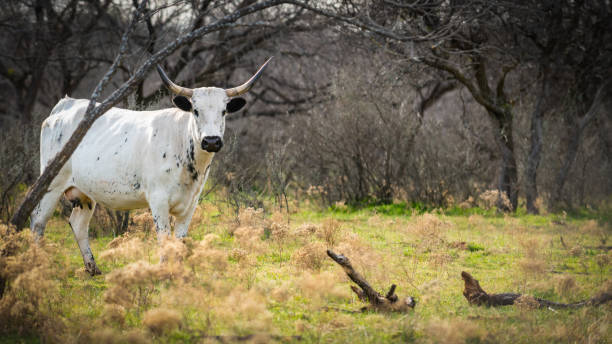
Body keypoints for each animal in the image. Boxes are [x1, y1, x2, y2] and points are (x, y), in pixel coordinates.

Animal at [31, 57, 272, 276]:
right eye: (195, 110)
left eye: (224, 111)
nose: (211, 141)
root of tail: (66, 105)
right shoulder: (158, 200)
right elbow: (164, 239)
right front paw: (164, 273)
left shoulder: (190, 204)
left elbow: (180, 241)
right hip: (51, 184)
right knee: (38, 221)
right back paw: (36, 265)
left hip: (84, 193)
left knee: (78, 224)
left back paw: (93, 268)